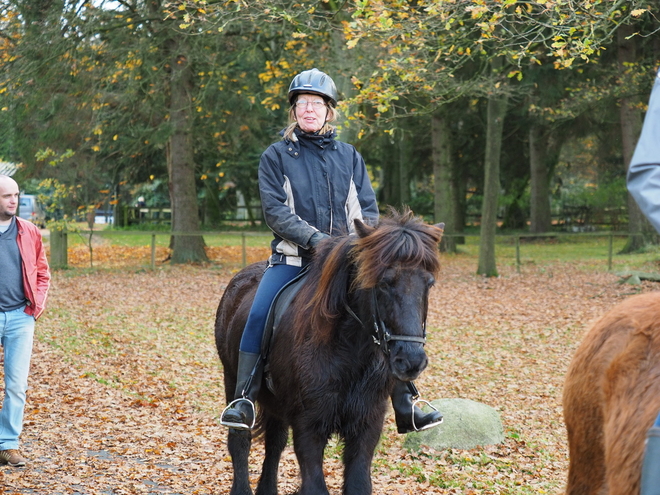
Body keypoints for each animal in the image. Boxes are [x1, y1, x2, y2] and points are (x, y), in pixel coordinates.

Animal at [215, 210, 444, 495]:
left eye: (429, 283)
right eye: (383, 282)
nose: (411, 361)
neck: (349, 353)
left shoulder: (366, 427)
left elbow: (358, 484)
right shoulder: (309, 428)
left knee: (275, 442)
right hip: (232, 380)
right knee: (240, 440)